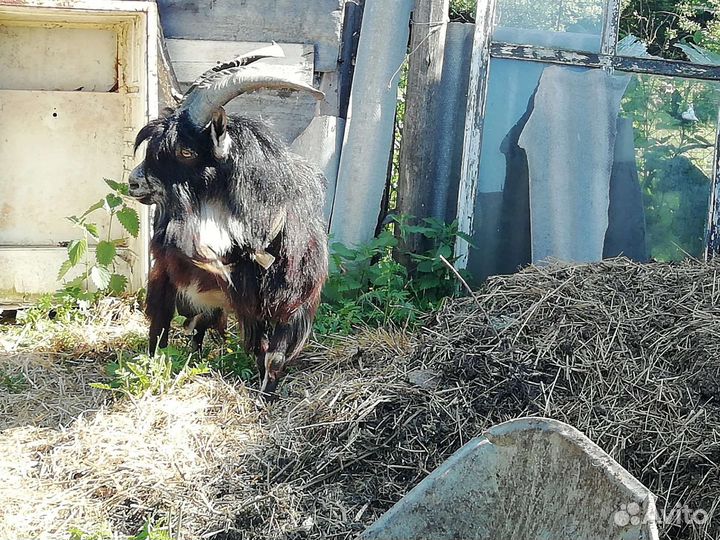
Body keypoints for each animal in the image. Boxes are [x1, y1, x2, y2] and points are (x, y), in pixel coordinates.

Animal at [128, 44, 328, 398]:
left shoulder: (293, 302)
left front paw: (266, 397)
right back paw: (159, 367)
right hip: (167, 278)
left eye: (186, 151)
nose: (134, 182)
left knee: (197, 330)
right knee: (161, 329)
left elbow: (273, 356)